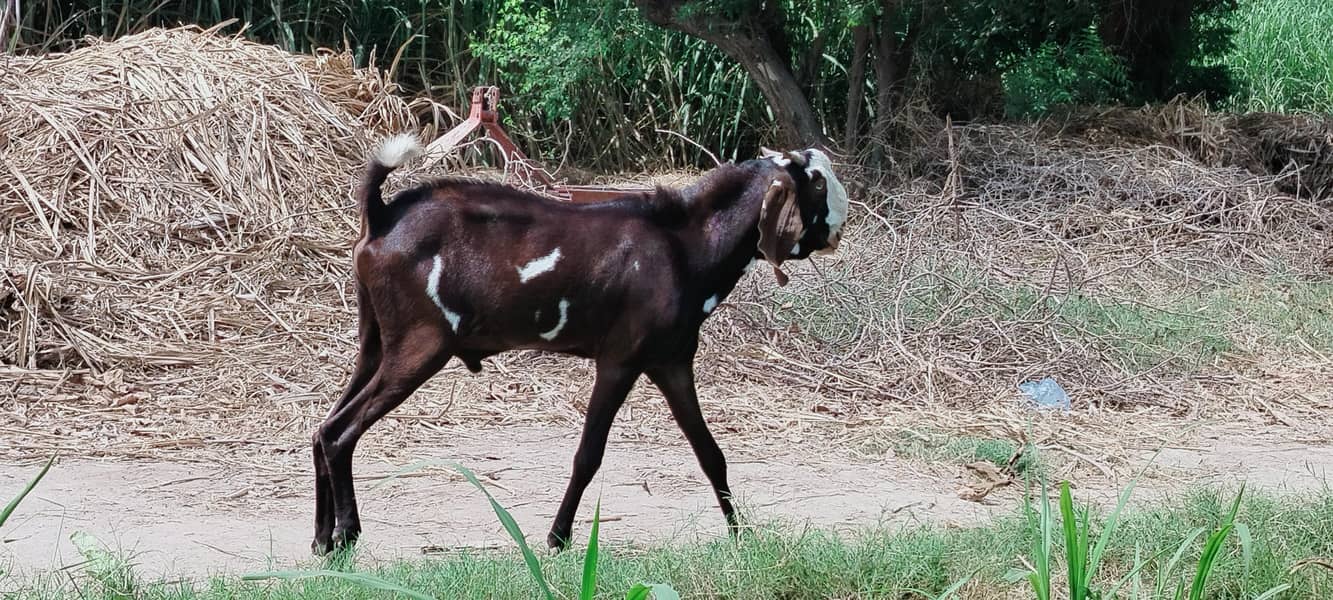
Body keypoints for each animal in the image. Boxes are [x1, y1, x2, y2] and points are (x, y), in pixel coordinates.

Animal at [311, 134, 850, 554]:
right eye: (816, 182)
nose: (840, 227)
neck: (685, 244)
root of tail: (382, 215)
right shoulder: (620, 359)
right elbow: (588, 454)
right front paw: (559, 538)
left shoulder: (672, 361)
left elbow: (709, 452)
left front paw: (743, 536)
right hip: (419, 346)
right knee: (340, 431)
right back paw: (348, 535)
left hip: (376, 342)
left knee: (324, 428)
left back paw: (322, 540)